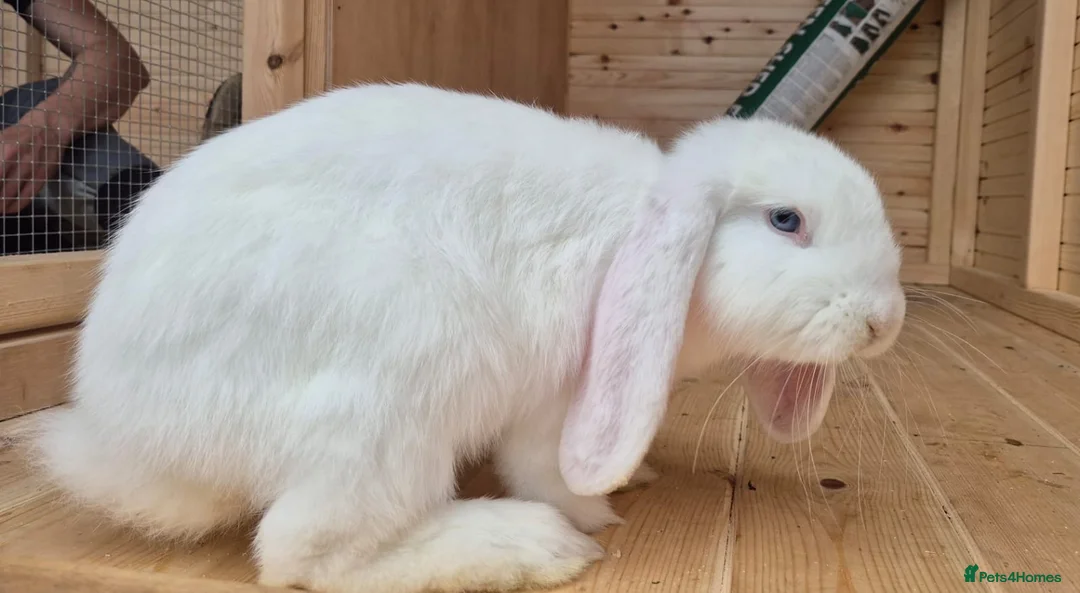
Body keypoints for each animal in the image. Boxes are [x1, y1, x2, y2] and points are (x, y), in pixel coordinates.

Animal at [26, 81, 906, 593]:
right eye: (787, 220)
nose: (884, 320)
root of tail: (134, 440)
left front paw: (642, 474)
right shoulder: (562, 395)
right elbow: (546, 466)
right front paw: (593, 512)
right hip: (398, 384)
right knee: (303, 554)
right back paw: (527, 546)